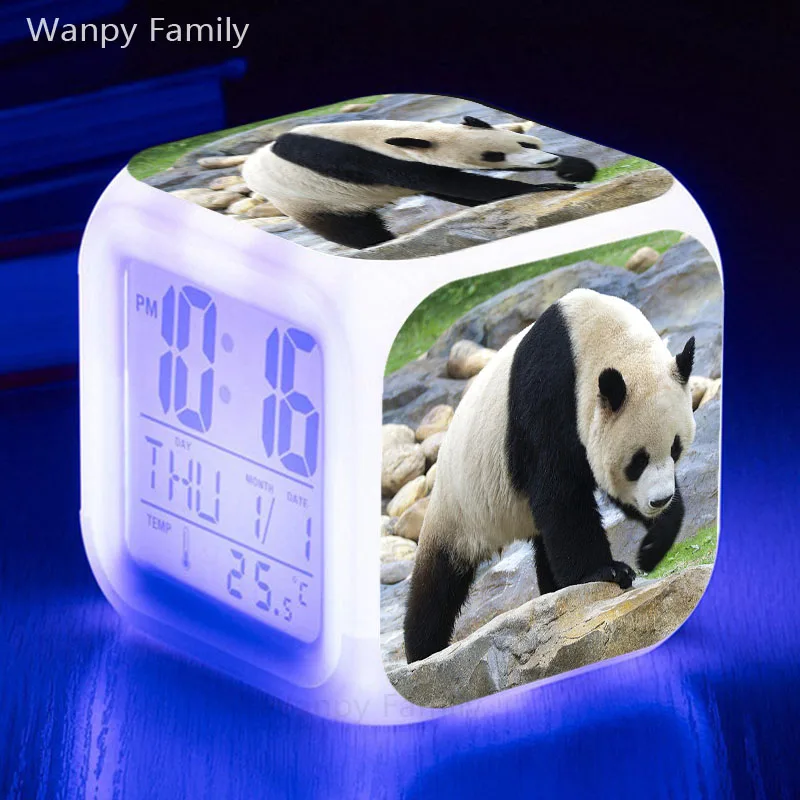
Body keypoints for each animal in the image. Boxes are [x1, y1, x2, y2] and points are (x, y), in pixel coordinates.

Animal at [241, 116, 596, 249]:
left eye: (526, 143)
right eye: (493, 155)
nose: (545, 163)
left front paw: (574, 169)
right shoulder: (366, 162)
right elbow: (455, 182)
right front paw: (545, 187)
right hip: (307, 198)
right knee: (349, 228)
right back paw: (377, 241)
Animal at [403, 288, 696, 663]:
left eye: (675, 448)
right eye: (638, 460)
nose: (659, 500)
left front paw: (651, 547)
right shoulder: (548, 396)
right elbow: (561, 492)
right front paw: (607, 572)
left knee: (544, 543)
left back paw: (555, 591)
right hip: (459, 505)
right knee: (437, 582)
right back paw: (423, 650)